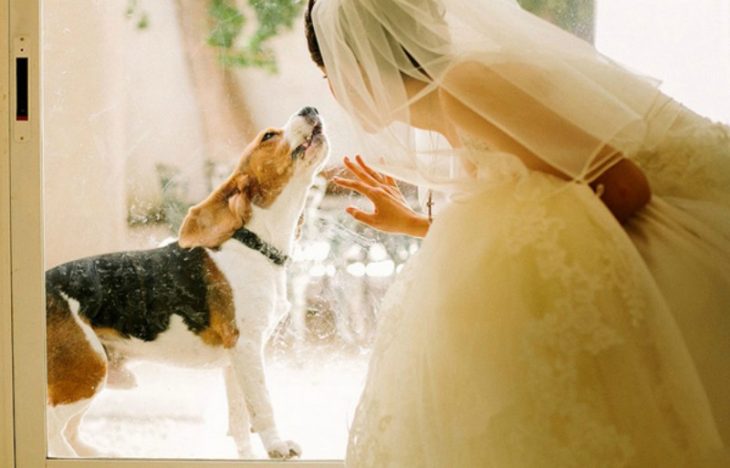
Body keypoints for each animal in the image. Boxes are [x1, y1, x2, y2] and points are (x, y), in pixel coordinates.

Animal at [44, 105, 328, 458]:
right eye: (268, 136)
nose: (310, 108)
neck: (255, 246)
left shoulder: (235, 361)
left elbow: (239, 421)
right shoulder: (247, 346)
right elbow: (262, 405)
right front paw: (277, 445)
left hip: (94, 373)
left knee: (70, 430)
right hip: (87, 370)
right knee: (53, 429)